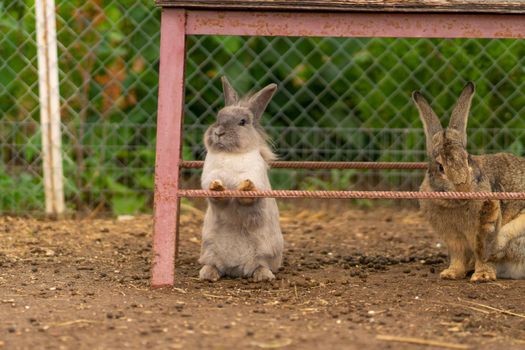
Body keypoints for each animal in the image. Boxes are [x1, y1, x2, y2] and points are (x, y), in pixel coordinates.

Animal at [412, 82, 524, 282]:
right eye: (440, 167)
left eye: (467, 159)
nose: (463, 188)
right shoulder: (453, 238)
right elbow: (458, 256)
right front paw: (451, 274)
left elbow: (482, 256)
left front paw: (483, 276)